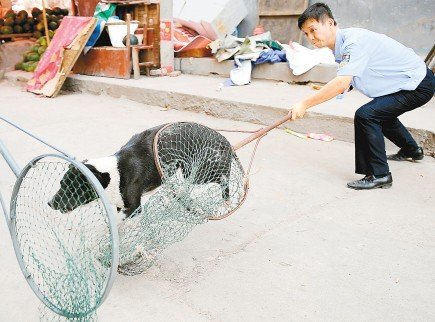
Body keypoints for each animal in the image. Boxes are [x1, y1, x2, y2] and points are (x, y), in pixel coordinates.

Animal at [49, 122, 233, 218]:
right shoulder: (120, 206)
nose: (49, 203)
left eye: (71, 188)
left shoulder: (133, 209)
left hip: (198, 175)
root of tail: (224, 140)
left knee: (224, 179)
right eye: (61, 184)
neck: (114, 173)